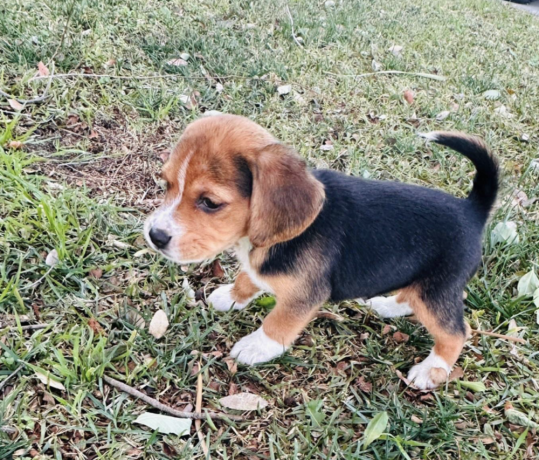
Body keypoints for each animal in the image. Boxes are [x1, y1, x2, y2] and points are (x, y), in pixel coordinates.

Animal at [143, 114, 498, 388]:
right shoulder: (258, 266)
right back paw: (386, 305)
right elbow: (249, 277)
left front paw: (258, 346)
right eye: (166, 184)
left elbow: (279, 322)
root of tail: (472, 210)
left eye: (210, 203)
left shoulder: (306, 295)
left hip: (437, 289)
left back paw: (431, 370)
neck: (260, 240)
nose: (155, 236)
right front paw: (232, 296)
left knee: (456, 333)